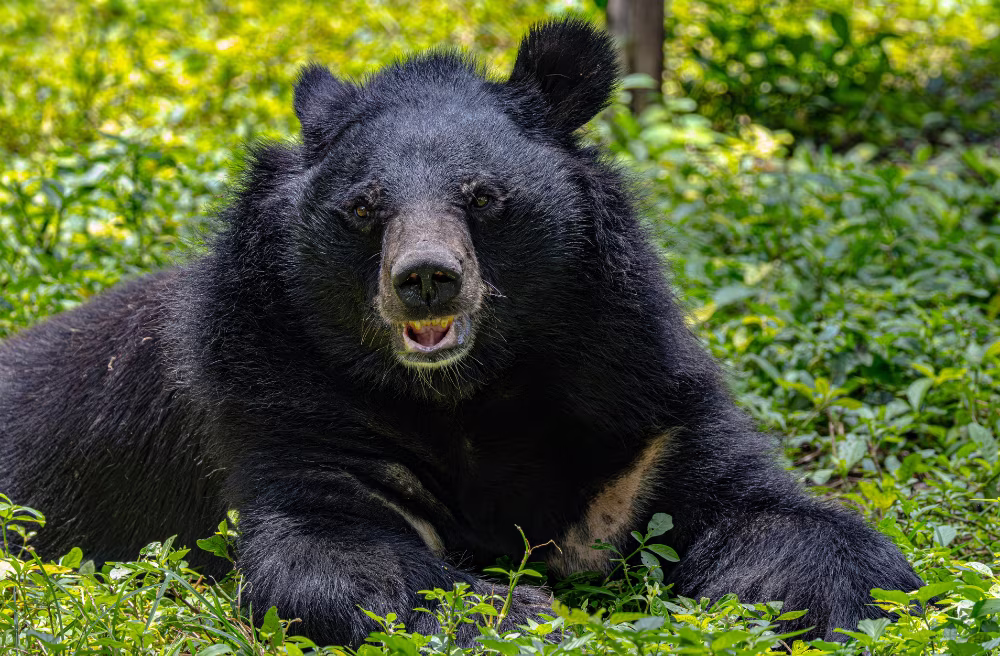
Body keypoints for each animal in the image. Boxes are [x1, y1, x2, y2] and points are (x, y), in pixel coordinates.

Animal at [0, 19, 922, 647]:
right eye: (364, 207)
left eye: (483, 196)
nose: (426, 278)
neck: (470, 393)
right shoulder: (281, 402)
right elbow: (332, 559)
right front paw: (519, 610)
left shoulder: (635, 394)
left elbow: (766, 511)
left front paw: (851, 602)